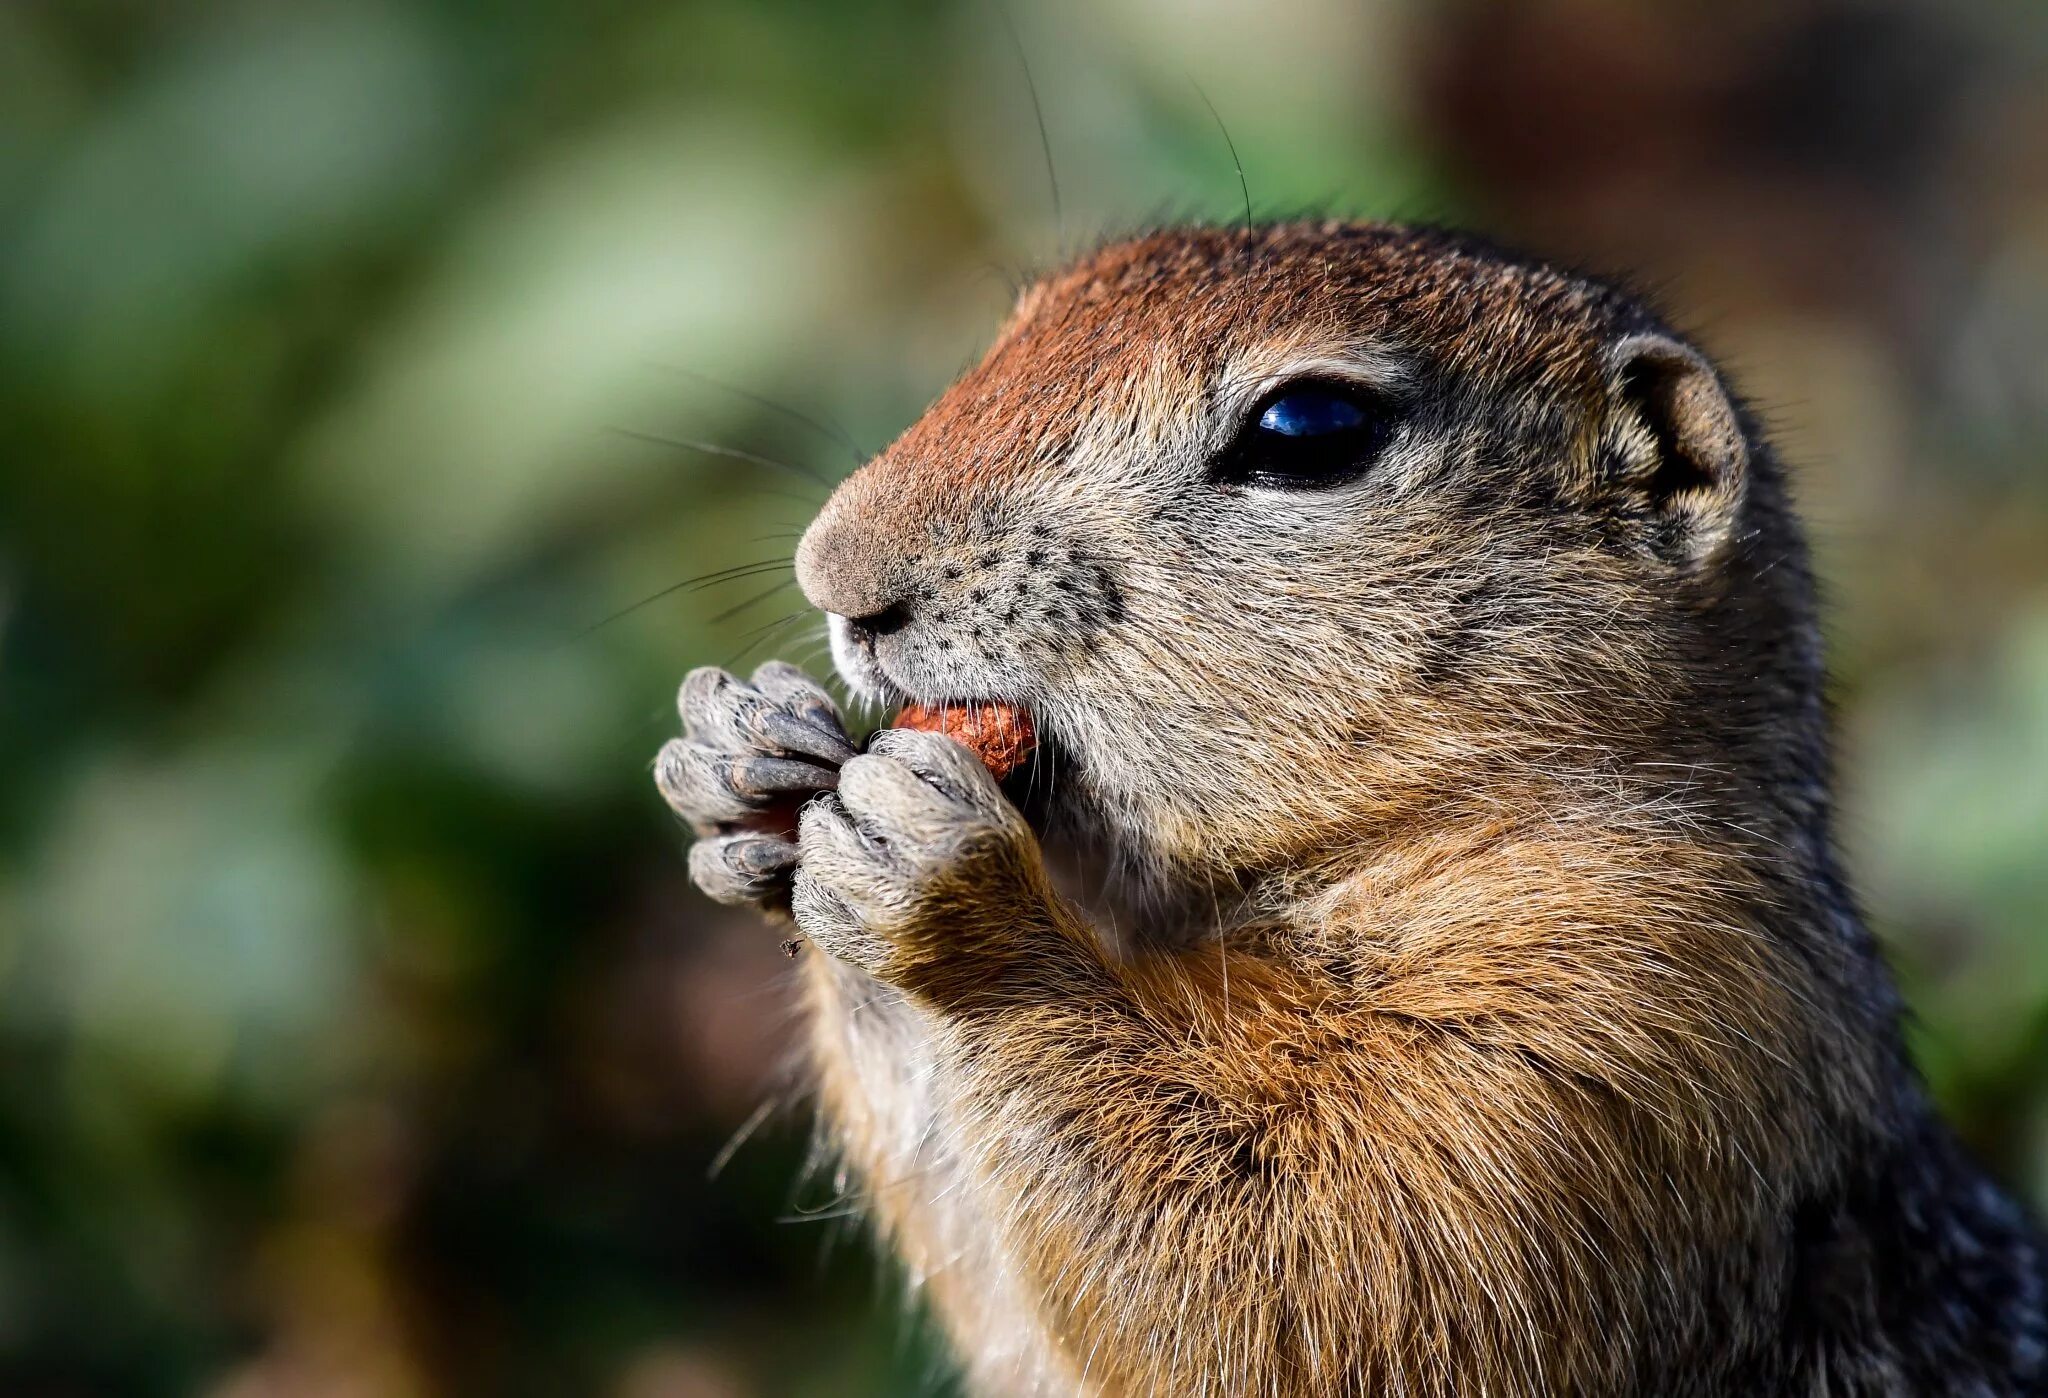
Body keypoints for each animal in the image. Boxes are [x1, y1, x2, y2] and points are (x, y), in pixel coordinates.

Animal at [659, 224, 2048, 1391]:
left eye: (1307, 427)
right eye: (1023, 319)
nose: (833, 572)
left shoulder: (1630, 1020)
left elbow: (1311, 1267)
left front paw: (947, 890)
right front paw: (744, 762)